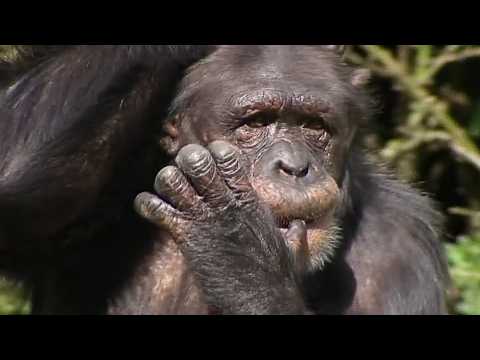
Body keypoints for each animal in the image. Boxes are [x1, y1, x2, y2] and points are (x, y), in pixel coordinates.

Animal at [0, 45, 450, 316]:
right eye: (256, 123)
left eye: (314, 126)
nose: (294, 166)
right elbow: (11, 162)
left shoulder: (401, 245)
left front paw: (239, 248)